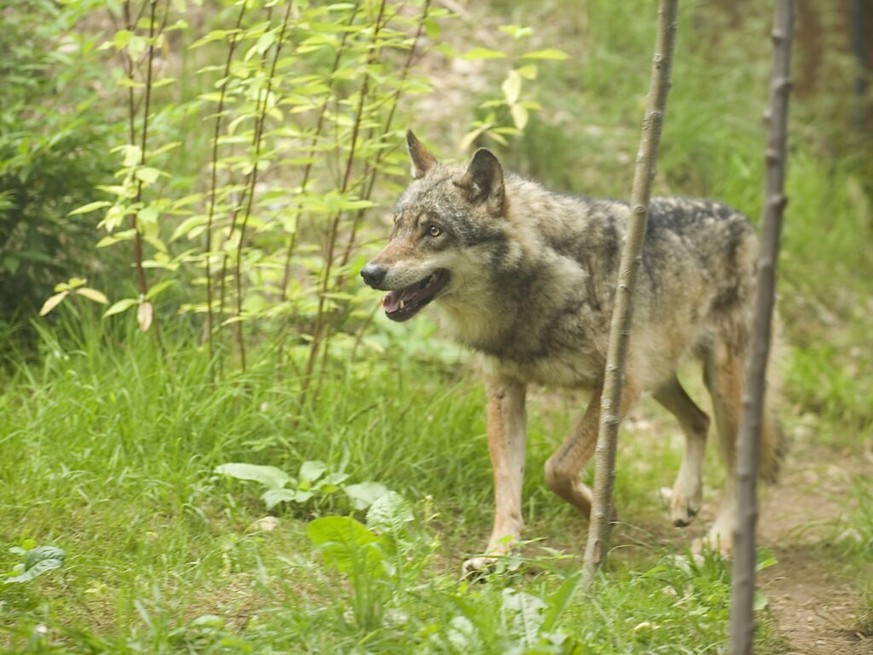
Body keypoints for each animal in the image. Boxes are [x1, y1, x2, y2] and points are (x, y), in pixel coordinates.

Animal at [362, 132, 784, 576]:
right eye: (397, 225)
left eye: (434, 230)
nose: (369, 273)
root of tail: (743, 220)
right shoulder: (505, 390)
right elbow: (506, 483)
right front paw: (499, 553)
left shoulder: (617, 386)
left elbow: (557, 468)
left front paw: (602, 513)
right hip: (658, 378)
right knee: (699, 420)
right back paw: (685, 500)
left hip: (718, 386)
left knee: (740, 466)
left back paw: (718, 541)